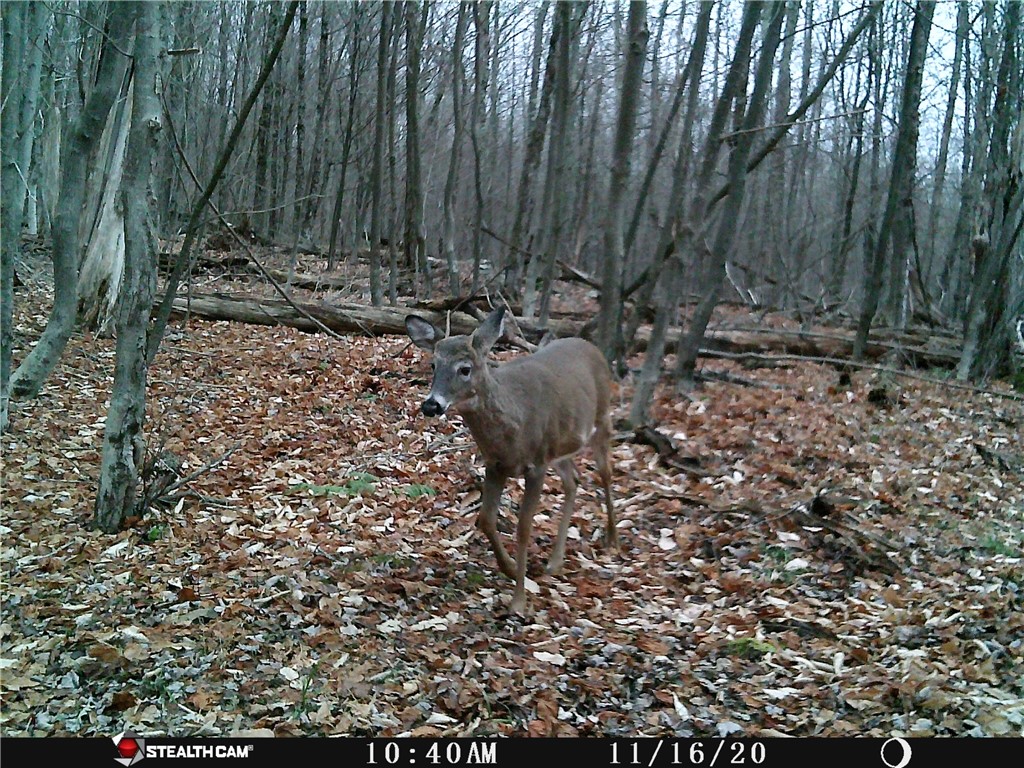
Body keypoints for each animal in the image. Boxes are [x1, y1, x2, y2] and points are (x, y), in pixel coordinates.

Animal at [405, 306, 616, 614]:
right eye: (433, 365)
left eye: (465, 368)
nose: (432, 404)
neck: (513, 426)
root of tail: (591, 346)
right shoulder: (495, 465)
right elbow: (485, 519)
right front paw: (511, 567)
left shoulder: (536, 465)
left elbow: (524, 528)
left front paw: (518, 600)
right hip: (560, 445)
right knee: (573, 479)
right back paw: (555, 561)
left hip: (601, 419)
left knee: (606, 473)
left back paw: (613, 539)